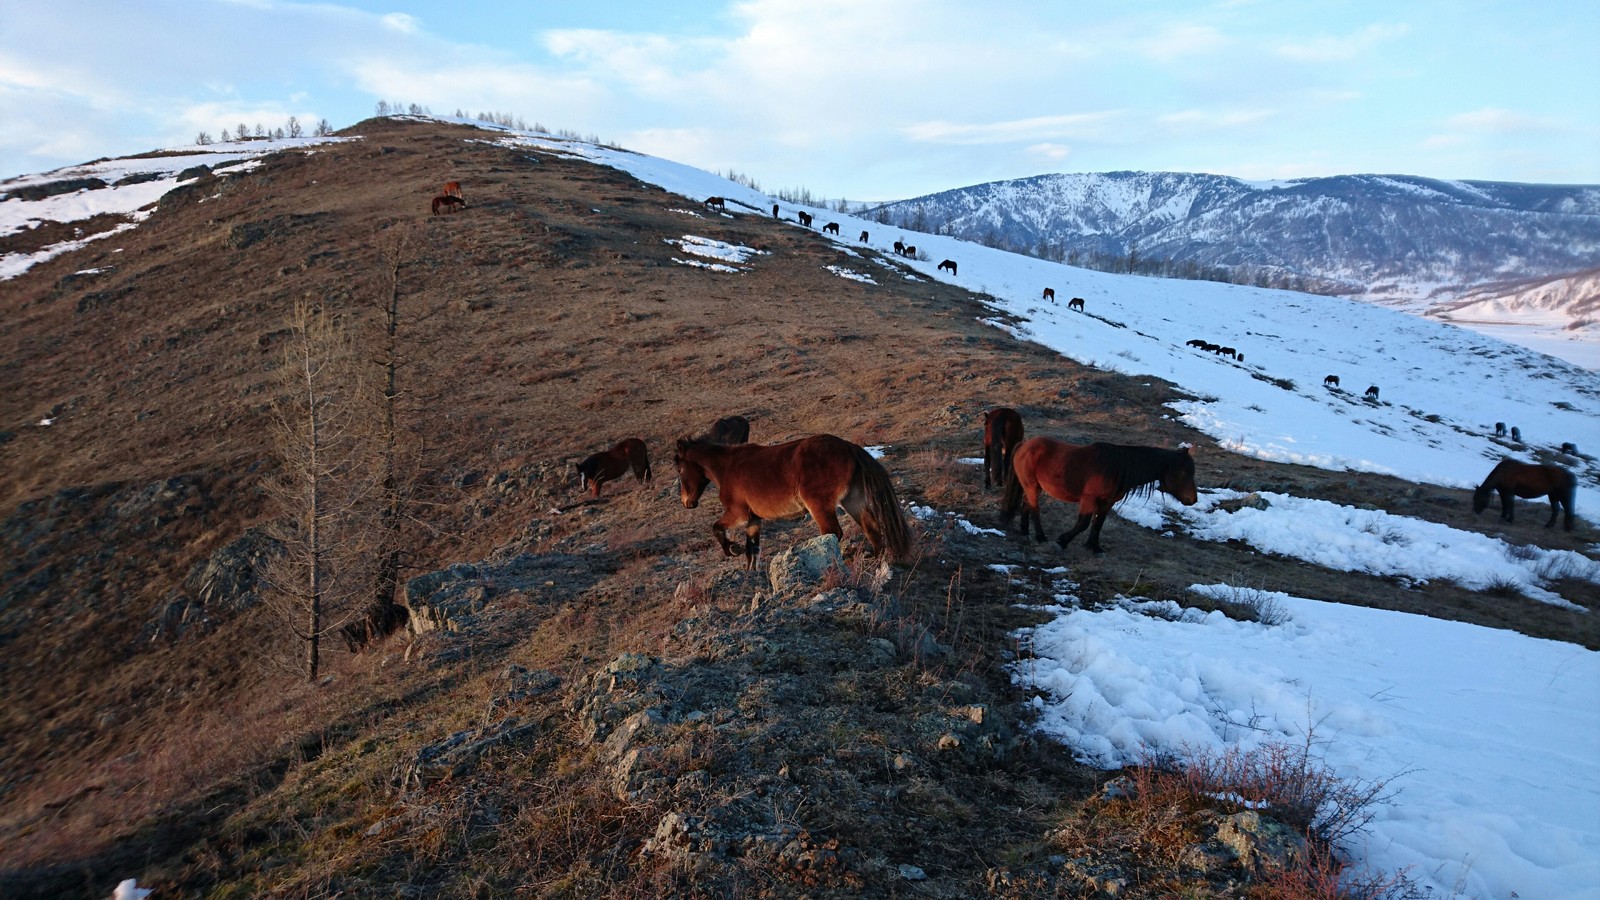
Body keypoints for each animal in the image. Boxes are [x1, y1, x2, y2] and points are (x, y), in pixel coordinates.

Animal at [672, 435, 915, 566]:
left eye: (680, 470)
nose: (687, 502)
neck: (728, 467)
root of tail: (849, 447)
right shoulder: (753, 520)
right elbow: (752, 549)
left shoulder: (738, 513)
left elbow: (716, 528)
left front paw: (732, 549)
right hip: (852, 501)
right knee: (871, 527)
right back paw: (876, 559)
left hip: (819, 506)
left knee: (832, 533)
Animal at [998, 435, 1203, 554]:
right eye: (1184, 473)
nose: (1193, 499)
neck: (1116, 468)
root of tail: (1024, 445)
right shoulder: (1089, 499)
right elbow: (1083, 524)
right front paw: (1062, 541)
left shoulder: (1107, 502)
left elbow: (1098, 524)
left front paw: (1094, 547)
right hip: (1032, 486)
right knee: (1034, 508)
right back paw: (1041, 537)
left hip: (1031, 486)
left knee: (1026, 504)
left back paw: (1025, 531)